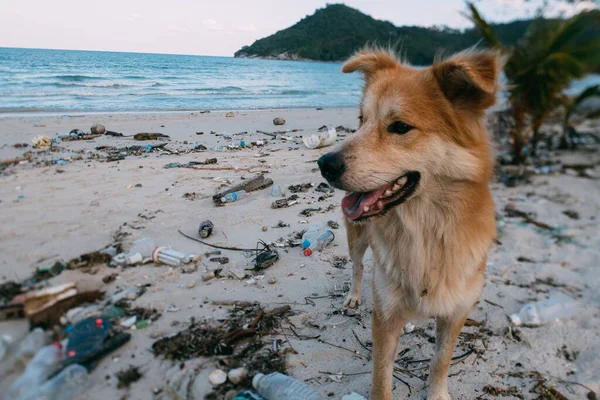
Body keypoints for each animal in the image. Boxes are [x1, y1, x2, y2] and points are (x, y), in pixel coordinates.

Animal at [318, 48, 496, 398]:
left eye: (400, 127)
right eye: (361, 120)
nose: (324, 164)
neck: (425, 233)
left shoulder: (457, 311)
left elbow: (440, 360)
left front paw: (437, 393)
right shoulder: (385, 315)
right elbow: (381, 376)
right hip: (357, 239)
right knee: (357, 266)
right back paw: (353, 295)